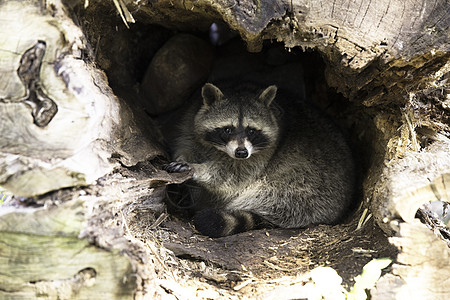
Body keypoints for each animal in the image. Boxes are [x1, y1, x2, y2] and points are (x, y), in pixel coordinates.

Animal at [163, 82, 356, 237]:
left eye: (251, 131)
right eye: (227, 129)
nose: (241, 153)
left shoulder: (265, 153)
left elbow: (232, 176)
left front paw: (197, 169)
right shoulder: (190, 121)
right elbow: (187, 145)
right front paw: (184, 158)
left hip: (304, 189)